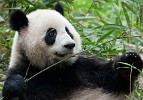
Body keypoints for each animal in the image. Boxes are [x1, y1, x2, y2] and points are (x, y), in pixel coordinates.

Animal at [2, 2, 143, 100]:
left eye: (68, 31)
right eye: (52, 33)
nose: (70, 45)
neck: (54, 70)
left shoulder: (82, 68)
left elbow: (114, 81)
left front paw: (129, 63)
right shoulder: (27, 72)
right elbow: (16, 90)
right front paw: (15, 86)